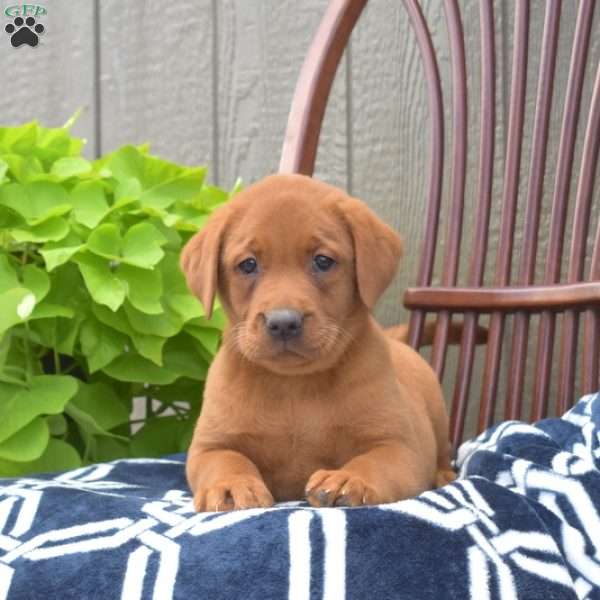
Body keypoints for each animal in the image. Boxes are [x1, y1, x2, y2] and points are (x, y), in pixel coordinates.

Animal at [180, 173, 452, 510]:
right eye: (247, 264)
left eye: (323, 261)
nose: (284, 322)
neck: (295, 387)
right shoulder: (210, 445)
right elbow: (226, 460)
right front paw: (231, 485)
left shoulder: (401, 445)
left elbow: (373, 462)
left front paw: (349, 479)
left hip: (436, 411)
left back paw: (444, 474)